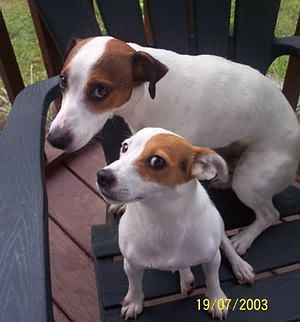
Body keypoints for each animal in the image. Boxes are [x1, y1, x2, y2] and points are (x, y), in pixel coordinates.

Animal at [48, 36, 300, 255]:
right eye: (62, 81)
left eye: (101, 91)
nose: (54, 139)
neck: (148, 96)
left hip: (250, 181)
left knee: (269, 214)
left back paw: (245, 238)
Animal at [96, 127, 255, 320]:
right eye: (125, 147)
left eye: (156, 161)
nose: (102, 176)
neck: (163, 217)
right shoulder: (131, 264)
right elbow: (134, 285)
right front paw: (134, 302)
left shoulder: (211, 259)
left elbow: (213, 280)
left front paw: (216, 298)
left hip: (218, 224)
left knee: (225, 243)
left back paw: (240, 266)